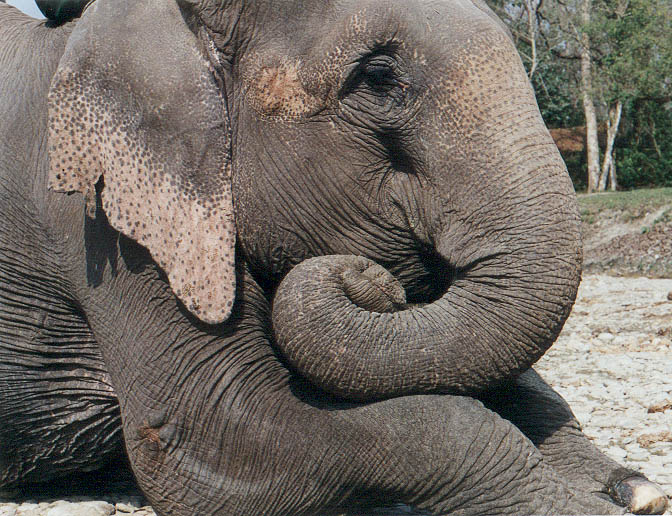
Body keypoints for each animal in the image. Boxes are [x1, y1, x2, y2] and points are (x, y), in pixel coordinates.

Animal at [0, 0, 668, 514]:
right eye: (379, 77)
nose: (376, 278)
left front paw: (633, 490)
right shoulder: (102, 226)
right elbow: (214, 426)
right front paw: (580, 505)